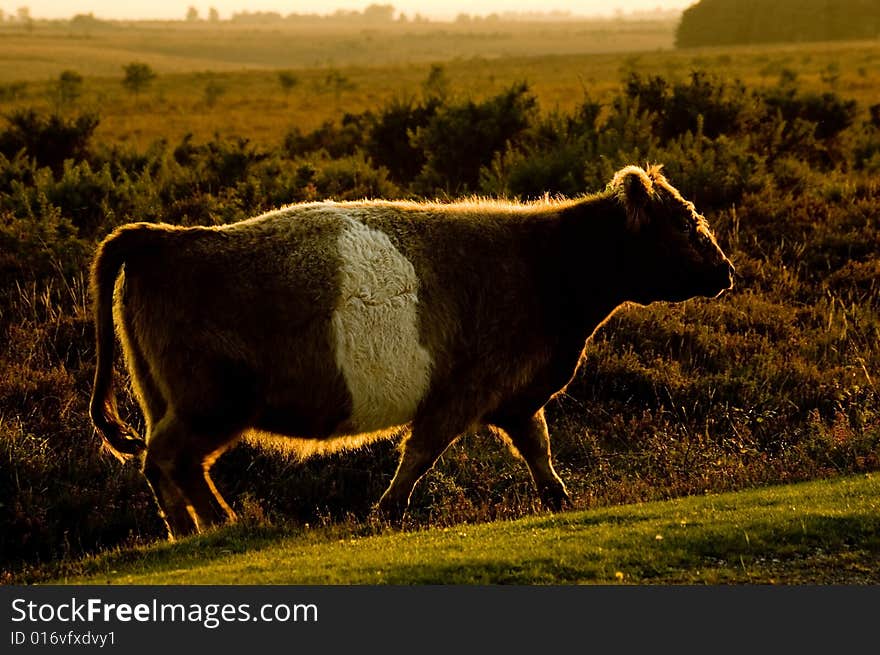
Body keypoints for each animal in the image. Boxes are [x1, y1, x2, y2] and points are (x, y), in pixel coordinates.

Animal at [89, 163, 736, 540]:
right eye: (685, 222)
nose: (727, 270)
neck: (545, 264)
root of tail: (162, 238)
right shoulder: (463, 393)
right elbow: (421, 453)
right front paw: (387, 513)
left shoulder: (518, 397)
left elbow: (539, 451)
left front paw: (560, 500)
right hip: (209, 402)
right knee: (164, 458)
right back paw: (203, 528)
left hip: (173, 401)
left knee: (175, 464)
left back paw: (214, 526)